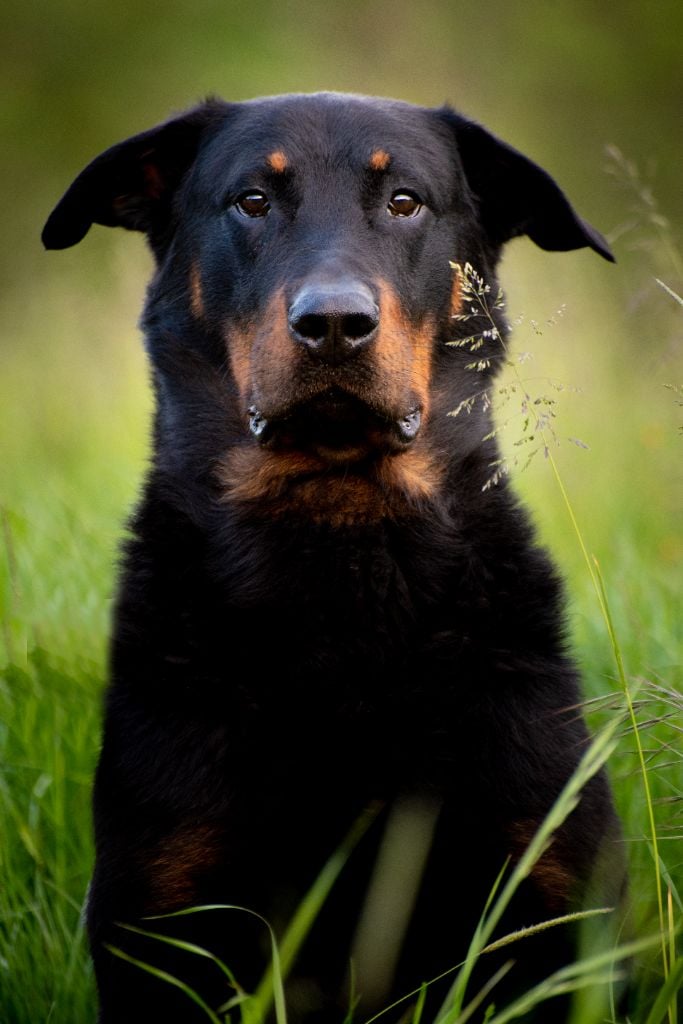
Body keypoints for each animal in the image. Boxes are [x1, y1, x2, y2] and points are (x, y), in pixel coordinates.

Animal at [42, 92, 626, 1019]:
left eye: (405, 201)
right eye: (251, 201)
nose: (333, 325)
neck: (339, 548)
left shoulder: (550, 902)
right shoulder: (165, 910)